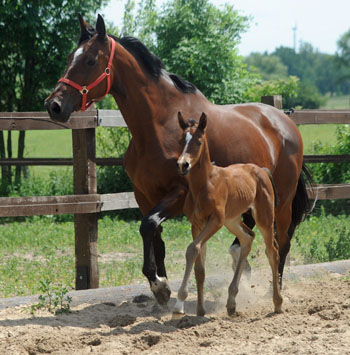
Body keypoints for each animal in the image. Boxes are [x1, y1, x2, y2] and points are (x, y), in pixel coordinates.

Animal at [174, 112, 284, 318]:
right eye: (180, 141)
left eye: (198, 142)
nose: (182, 165)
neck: (204, 185)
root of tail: (261, 170)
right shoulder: (197, 224)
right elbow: (199, 265)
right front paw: (200, 310)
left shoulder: (215, 221)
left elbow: (192, 249)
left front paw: (179, 304)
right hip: (232, 220)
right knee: (247, 238)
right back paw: (231, 302)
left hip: (263, 217)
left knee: (272, 251)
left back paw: (277, 303)